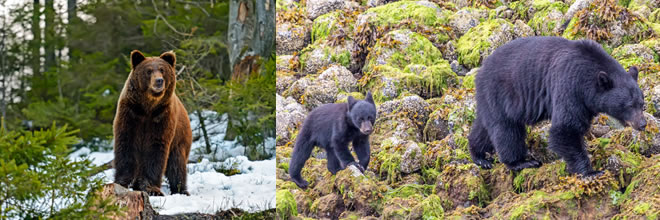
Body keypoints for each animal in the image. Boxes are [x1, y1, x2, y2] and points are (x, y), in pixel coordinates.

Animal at [112, 50, 191, 196]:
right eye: (148, 71)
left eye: (162, 69)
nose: (159, 81)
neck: (148, 107)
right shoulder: (131, 114)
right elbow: (126, 144)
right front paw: (122, 182)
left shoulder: (161, 117)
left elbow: (156, 149)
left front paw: (151, 188)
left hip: (180, 139)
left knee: (176, 165)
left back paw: (181, 190)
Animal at [466, 36, 648, 177]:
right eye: (629, 105)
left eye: (642, 103)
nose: (642, 124)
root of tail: (480, 70)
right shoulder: (569, 86)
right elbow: (565, 128)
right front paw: (590, 172)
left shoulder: (585, 102)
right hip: (500, 92)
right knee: (506, 129)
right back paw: (521, 162)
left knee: (485, 127)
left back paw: (480, 157)